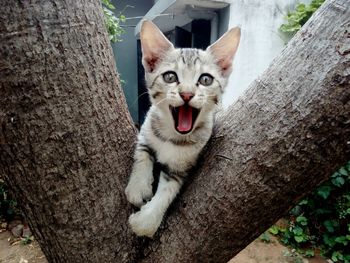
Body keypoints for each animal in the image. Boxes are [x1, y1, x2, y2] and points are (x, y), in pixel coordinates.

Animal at [124, 19, 239, 237]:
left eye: (205, 79)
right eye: (170, 77)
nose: (186, 94)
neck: (171, 136)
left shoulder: (183, 167)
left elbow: (167, 192)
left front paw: (145, 221)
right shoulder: (146, 129)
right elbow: (142, 154)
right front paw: (138, 187)